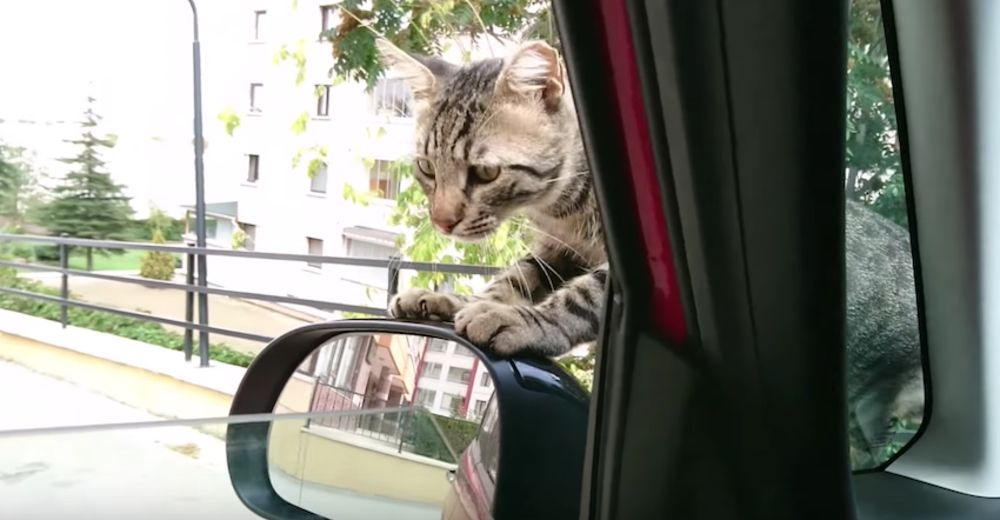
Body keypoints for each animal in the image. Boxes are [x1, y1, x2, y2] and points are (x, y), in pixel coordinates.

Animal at [380, 39, 920, 464]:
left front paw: (516, 320)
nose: (442, 220)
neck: (561, 207)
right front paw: (454, 301)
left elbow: (576, 299)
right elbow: (512, 279)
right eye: (427, 168)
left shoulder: (631, 270)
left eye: (485, 173)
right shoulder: (558, 250)